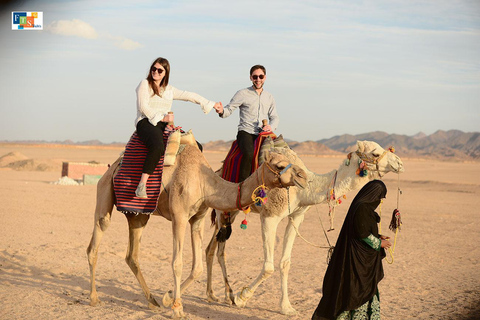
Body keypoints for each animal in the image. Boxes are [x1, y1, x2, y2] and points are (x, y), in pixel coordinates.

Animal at [85, 143, 308, 320]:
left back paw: (152, 301)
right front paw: (177, 308)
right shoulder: (179, 217)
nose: (303, 177)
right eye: (280, 165)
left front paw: (167, 298)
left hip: (139, 215)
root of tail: (112, 166)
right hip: (104, 192)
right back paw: (94, 298)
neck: (204, 184)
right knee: (94, 243)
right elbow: (177, 263)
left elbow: (198, 267)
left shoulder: (197, 220)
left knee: (131, 255)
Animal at [202, 140, 404, 316]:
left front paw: (286, 307)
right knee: (220, 250)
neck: (305, 189)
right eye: (375, 153)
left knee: (210, 248)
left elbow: (285, 263)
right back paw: (227, 294)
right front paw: (241, 297)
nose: (400, 163)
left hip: (232, 211)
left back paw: (213, 294)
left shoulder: (296, 217)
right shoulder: (270, 216)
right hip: (224, 211)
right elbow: (268, 267)